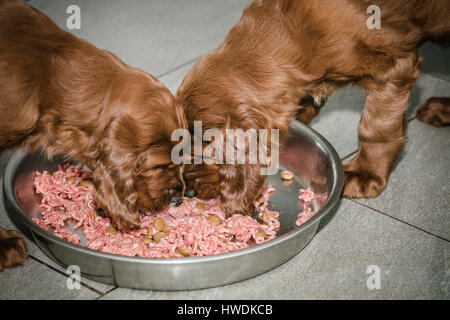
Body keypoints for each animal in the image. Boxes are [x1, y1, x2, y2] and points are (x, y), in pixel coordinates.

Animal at [178, 0, 450, 218]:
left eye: (198, 156)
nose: (189, 192)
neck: (294, 33)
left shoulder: (394, 65)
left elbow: (376, 127)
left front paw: (365, 174)